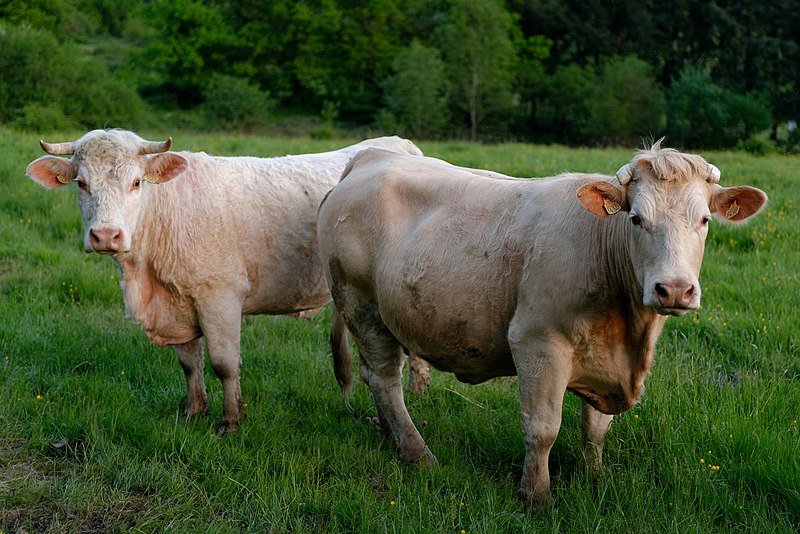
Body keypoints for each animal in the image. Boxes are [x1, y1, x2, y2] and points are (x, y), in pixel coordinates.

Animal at [25, 131, 424, 436]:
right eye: (81, 183)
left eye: (136, 183)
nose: (106, 235)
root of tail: (396, 143)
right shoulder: (178, 306)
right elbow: (190, 364)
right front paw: (194, 411)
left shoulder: (220, 298)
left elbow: (223, 364)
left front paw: (231, 421)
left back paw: (418, 394)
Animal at [318, 141, 768, 506]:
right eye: (637, 219)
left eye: (705, 220)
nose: (673, 289)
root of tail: (370, 157)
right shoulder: (537, 343)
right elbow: (543, 429)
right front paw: (536, 496)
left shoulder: (605, 360)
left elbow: (595, 430)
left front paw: (593, 478)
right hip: (361, 305)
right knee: (384, 379)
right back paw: (417, 453)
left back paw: (390, 436)